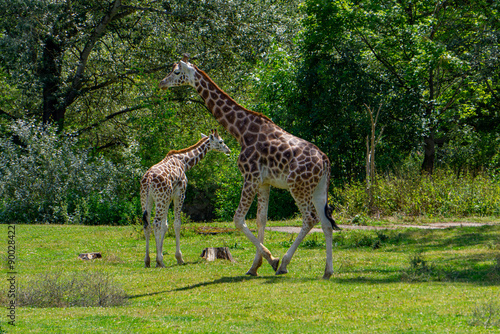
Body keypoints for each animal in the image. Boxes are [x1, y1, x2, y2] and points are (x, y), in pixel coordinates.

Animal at [141, 129, 230, 268]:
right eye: (221, 141)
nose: (228, 150)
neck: (184, 162)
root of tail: (148, 179)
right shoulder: (180, 193)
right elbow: (177, 223)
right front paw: (179, 258)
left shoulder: (168, 197)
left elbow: (165, 225)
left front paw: (159, 259)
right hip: (160, 198)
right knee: (155, 223)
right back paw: (159, 261)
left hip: (147, 199)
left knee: (147, 224)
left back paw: (147, 261)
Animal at [160, 55, 340, 280]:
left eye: (176, 72)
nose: (162, 83)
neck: (241, 130)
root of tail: (324, 161)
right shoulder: (264, 182)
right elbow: (261, 220)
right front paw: (254, 266)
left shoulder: (250, 176)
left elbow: (238, 219)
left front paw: (272, 260)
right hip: (318, 189)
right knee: (326, 223)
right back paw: (328, 271)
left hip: (297, 186)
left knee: (310, 219)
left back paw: (284, 264)